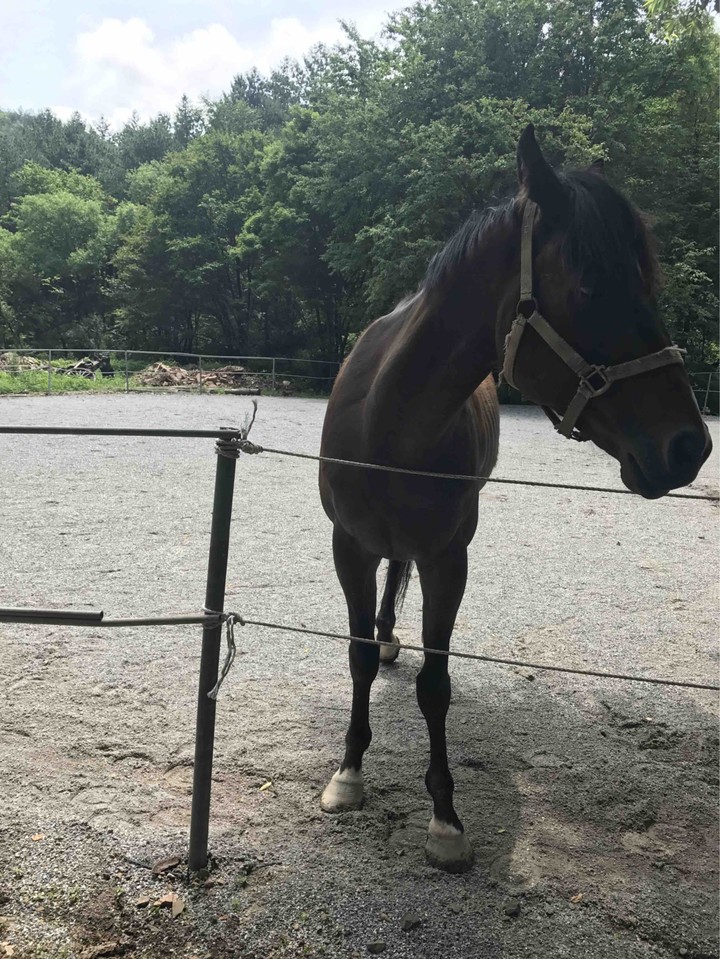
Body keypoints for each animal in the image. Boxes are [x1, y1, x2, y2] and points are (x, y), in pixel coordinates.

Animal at [317, 124, 712, 873]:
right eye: (589, 285)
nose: (690, 447)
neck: (390, 421)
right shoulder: (347, 547)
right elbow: (353, 656)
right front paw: (349, 772)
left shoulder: (449, 558)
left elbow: (435, 684)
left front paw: (445, 818)